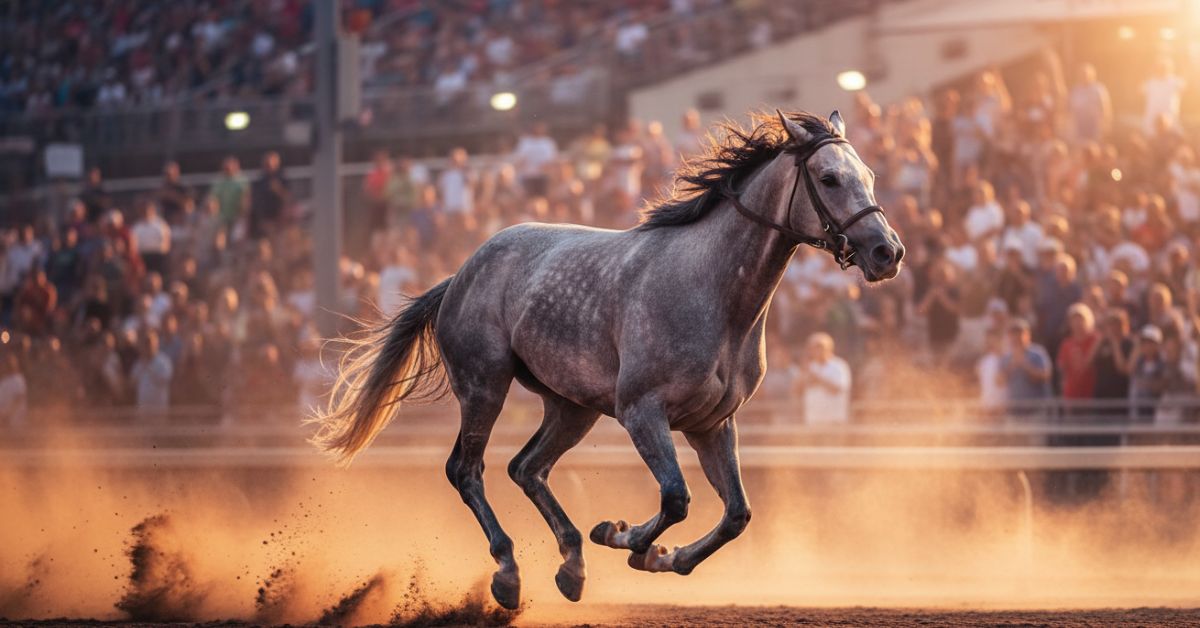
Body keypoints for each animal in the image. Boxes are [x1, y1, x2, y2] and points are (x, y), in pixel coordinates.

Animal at [310, 110, 905, 610]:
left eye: (870, 174)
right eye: (828, 178)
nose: (888, 252)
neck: (711, 290)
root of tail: (459, 276)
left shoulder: (713, 423)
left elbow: (736, 514)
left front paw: (659, 556)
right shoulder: (642, 411)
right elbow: (676, 498)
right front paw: (626, 538)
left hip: (572, 407)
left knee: (526, 467)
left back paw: (572, 566)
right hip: (485, 386)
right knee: (468, 469)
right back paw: (508, 573)